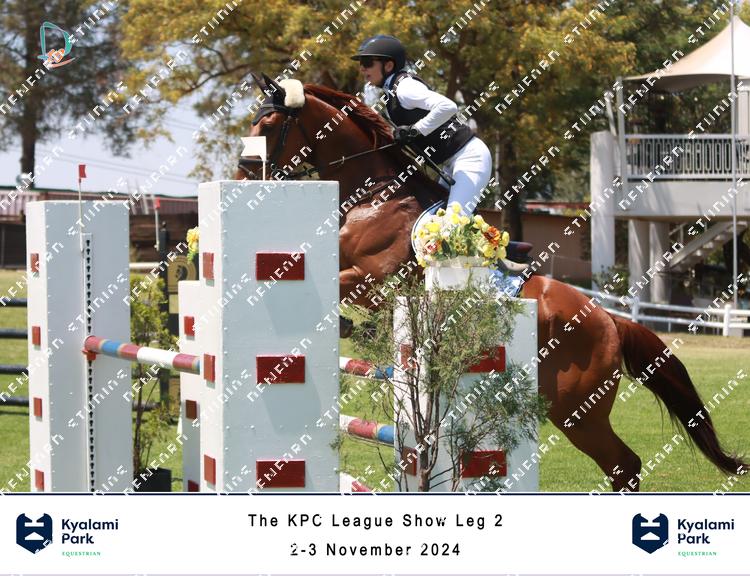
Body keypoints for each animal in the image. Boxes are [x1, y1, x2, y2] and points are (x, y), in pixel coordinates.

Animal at [235, 74, 747, 491]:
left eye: (269, 123)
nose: (242, 172)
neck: (374, 195)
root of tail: (609, 320)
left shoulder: (374, 278)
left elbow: (342, 287)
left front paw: (349, 327)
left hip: (576, 410)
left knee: (625, 465)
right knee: (623, 467)